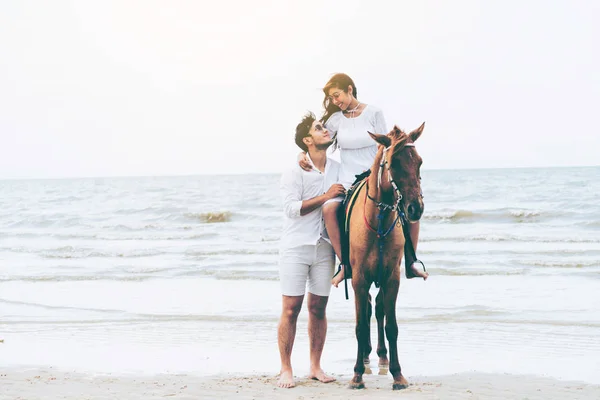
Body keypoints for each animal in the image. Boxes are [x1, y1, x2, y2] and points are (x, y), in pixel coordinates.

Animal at [344, 122, 424, 390]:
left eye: (419, 162)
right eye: (394, 162)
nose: (415, 208)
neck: (378, 222)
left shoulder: (391, 278)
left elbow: (391, 326)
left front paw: (398, 374)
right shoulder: (359, 279)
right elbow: (360, 325)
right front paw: (357, 375)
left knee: (378, 309)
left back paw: (380, 355)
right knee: (369, 308)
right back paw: (366, 356)